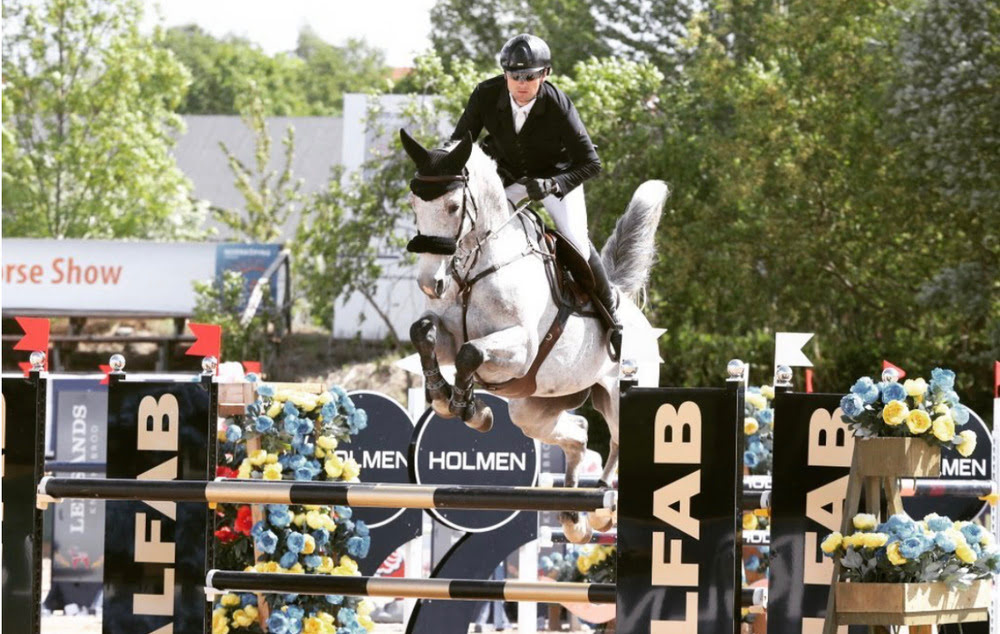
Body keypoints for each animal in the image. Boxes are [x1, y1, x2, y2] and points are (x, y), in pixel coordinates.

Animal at [400, 130, 672, 544]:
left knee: (619, 441)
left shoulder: (521, 348)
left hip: (619, 394)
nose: (432, 284)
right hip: (533, 408)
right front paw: (447, 398)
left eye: (452, 206)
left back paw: (602, 507)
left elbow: (470, 353)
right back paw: (575, 517)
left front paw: (469, 407)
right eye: (414, 203)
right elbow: (424, 335)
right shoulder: (449, 334)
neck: (479, 268)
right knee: (579, 433)